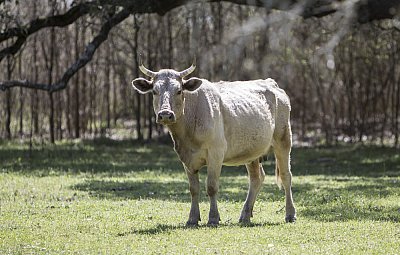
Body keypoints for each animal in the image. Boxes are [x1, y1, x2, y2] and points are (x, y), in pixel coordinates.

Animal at [130, 60, 294, 226]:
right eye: (154, 91)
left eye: (179, 91)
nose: (165, 114)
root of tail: (272, 83)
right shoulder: (186, 158)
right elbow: (193, 189)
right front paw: (192, 219)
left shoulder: (216, 153)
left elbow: (211, 186)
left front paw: (214, 218)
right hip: (252, 151)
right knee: (256, 178)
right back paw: (245, 215)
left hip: (283, 139)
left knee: (286, 175)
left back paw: (290, 214)